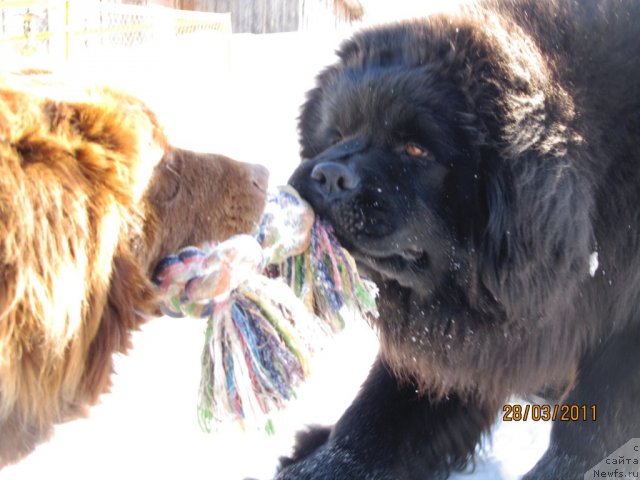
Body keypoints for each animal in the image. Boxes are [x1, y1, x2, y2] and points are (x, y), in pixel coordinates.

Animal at [282, 0, 640, 480]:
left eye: (416, 150)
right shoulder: (469, 333)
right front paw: (319, 464)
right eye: (336, 136)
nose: (329, 176)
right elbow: (382, 411)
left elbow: (592, 429)